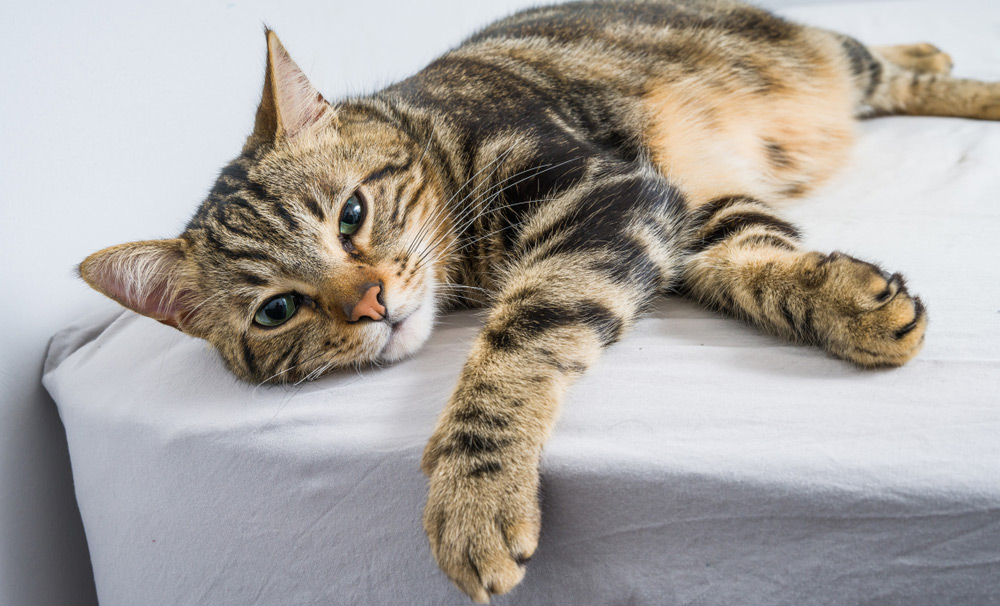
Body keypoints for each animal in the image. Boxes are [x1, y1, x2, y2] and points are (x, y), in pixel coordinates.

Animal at [76, 0, 992, 604]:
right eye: (275, 312)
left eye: (351, 215)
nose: (370, 304)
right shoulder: (671, 211)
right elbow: (753, 257)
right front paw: (848, 298)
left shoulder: (607, 193)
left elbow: (519, 339)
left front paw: (475, 492)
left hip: (821, 55)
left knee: (887, 67)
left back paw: (951, 66)